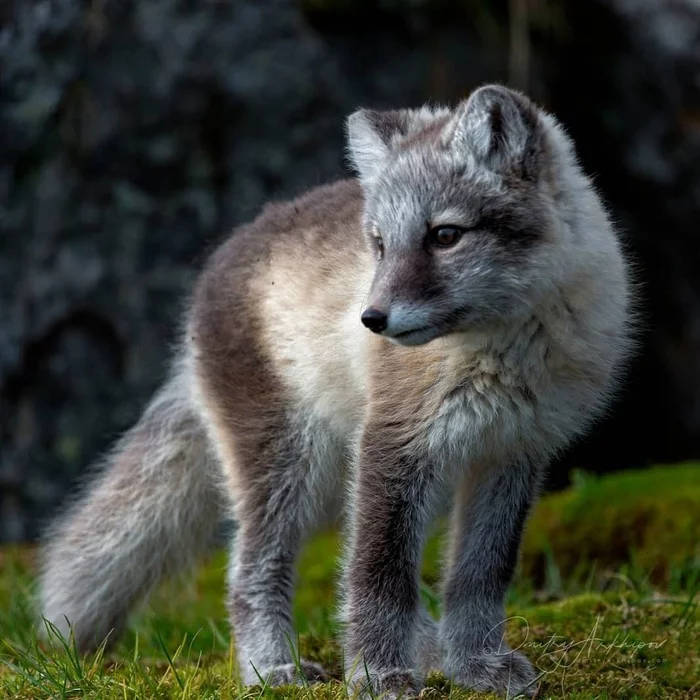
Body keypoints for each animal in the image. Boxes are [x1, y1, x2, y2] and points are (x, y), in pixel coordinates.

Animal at [38, 85, 632, 696]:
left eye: (445, 235)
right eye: (380, 245)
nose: (372, 319)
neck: (508, 350)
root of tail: (224, 256)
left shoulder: (513, 453)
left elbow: (480, 574)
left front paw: (474, 665)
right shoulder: (394, 445)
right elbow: (378, 574)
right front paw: (377, 674)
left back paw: (427, 649)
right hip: (295, 469)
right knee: (250, 571)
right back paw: (273, 670)